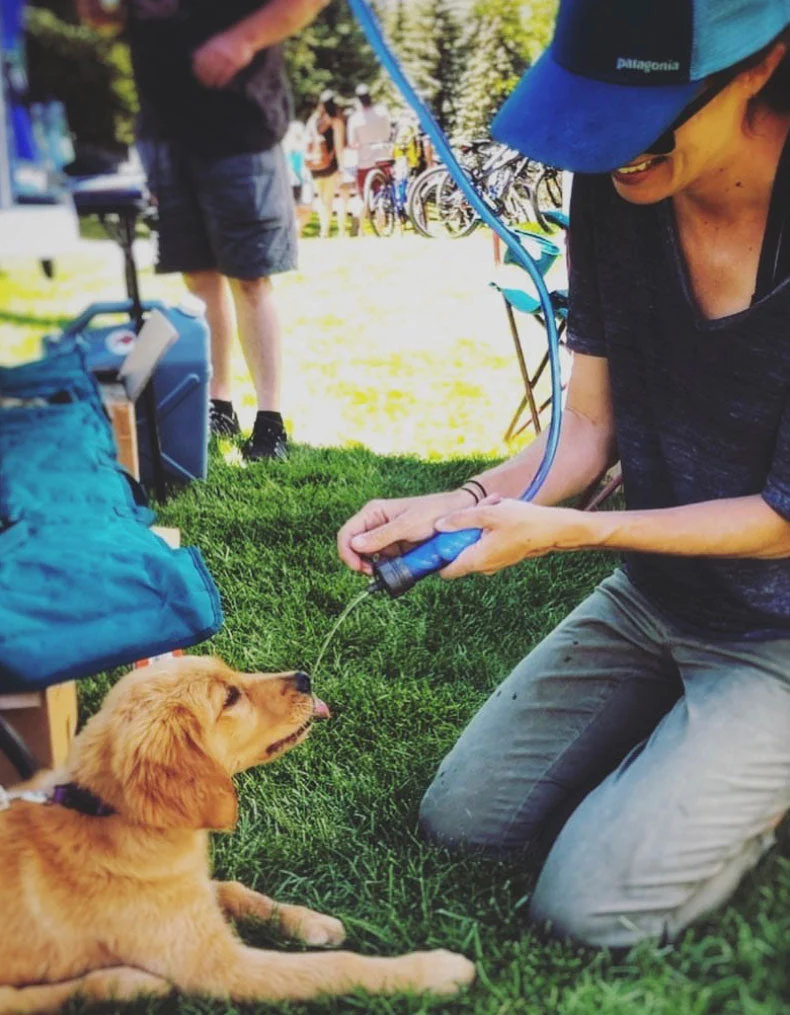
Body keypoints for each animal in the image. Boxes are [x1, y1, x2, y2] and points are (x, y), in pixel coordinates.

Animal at [0, 653, 473, 1010]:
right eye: (230, 698)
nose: (305, 676)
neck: (111, 815)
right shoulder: (220, 968)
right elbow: (334, 967)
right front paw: (434, 971)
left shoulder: (190, 893)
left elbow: (233, 888)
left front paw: (310, 922)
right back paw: (130, 983)